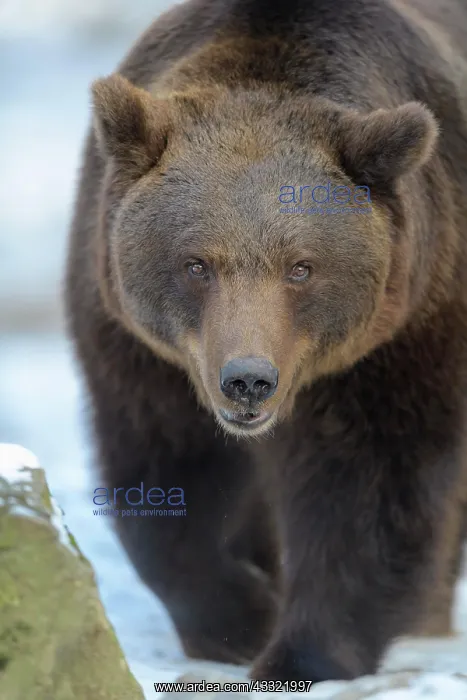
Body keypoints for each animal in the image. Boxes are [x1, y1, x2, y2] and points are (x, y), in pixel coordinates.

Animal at [65, 0, 467, 683]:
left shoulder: (402, 333)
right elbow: (166, 471)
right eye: (196, 263)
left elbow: (372, 484)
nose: (248, 380)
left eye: (301, 267)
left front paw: (304, 649)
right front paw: (240, 618)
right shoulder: (141, 349)